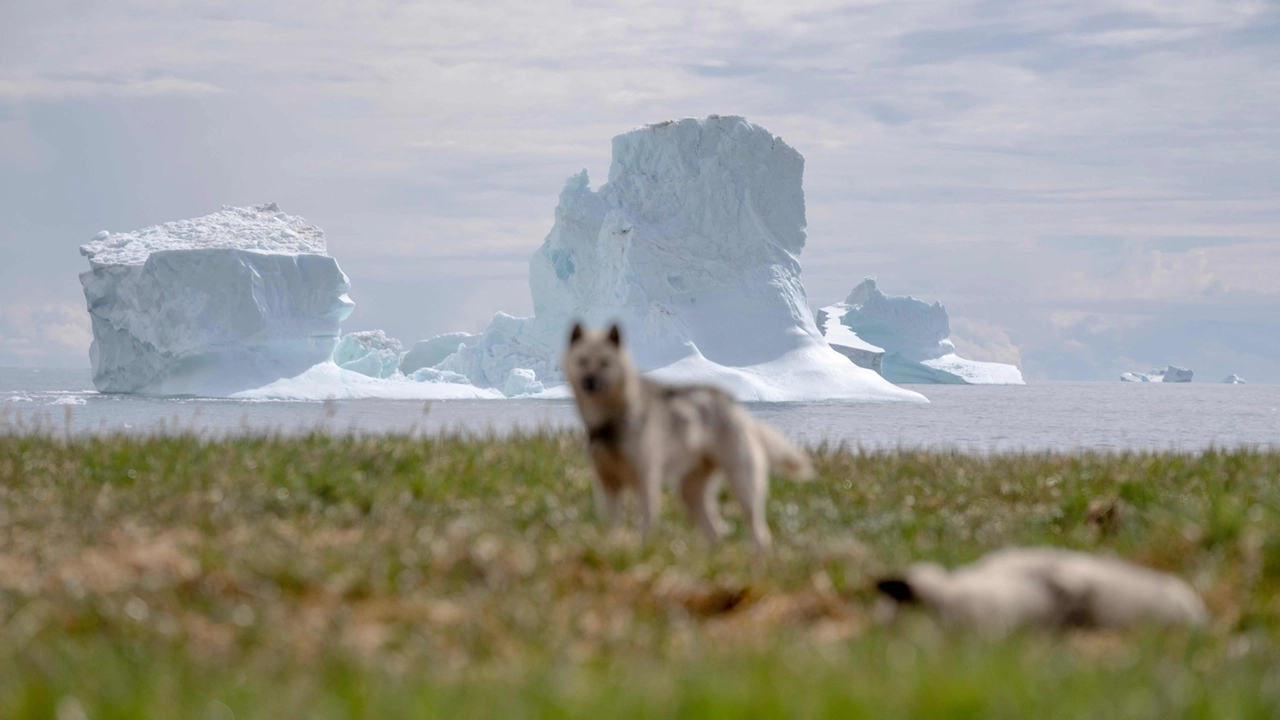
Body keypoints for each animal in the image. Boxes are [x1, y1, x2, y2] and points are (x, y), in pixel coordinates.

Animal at [560, 319, 808, 543]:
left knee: (759, 533)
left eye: (605, 362)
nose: (589, 381)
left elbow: (646, 527)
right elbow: (609, 528)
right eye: (582, 360)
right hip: (689, 492)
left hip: (743, 486)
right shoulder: (606, 485)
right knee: (715, 532)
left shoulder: (646, 482)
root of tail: (735, 407)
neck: (611, 421)